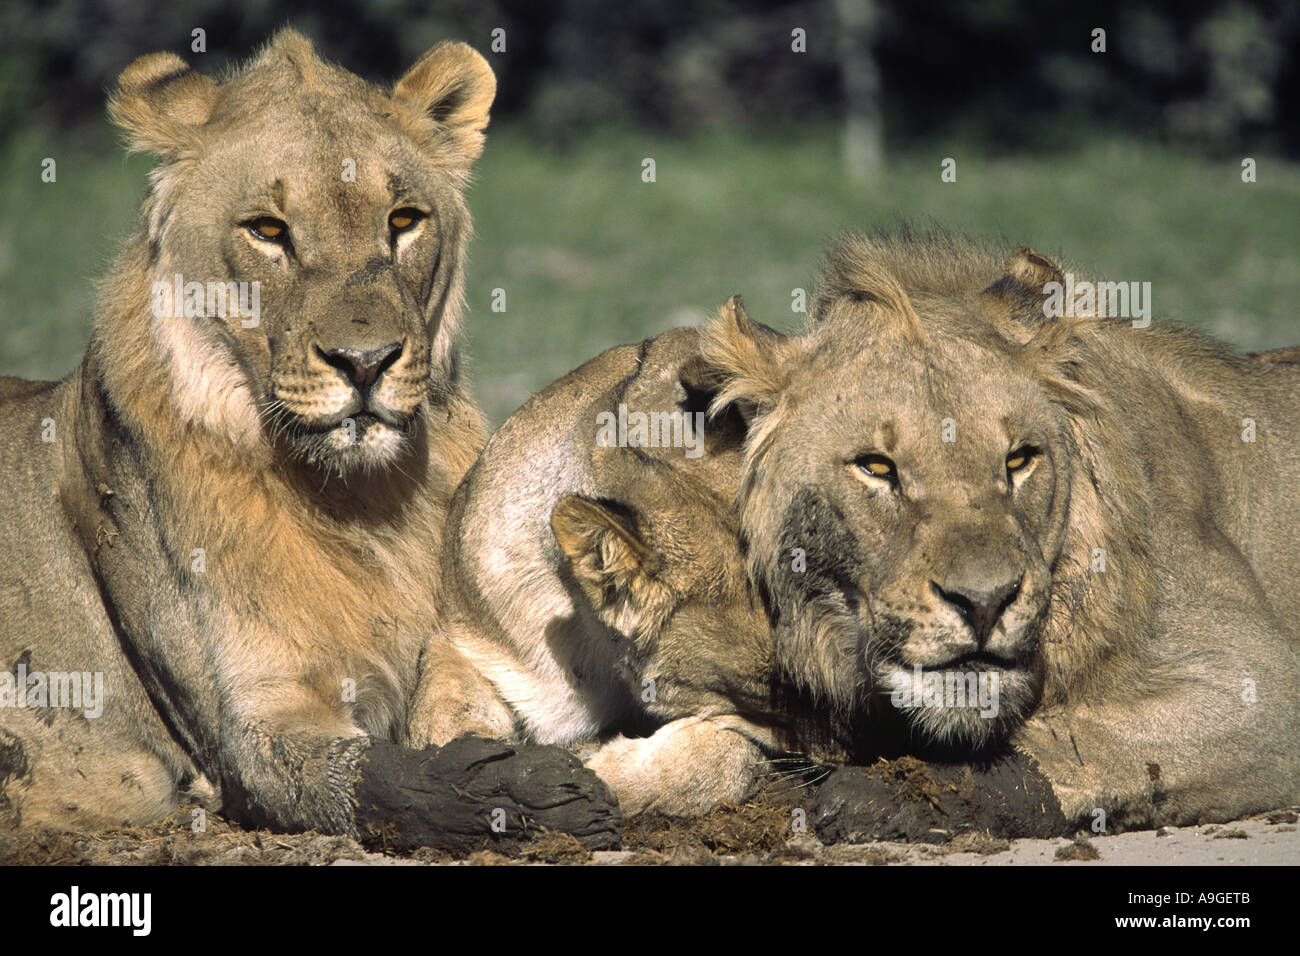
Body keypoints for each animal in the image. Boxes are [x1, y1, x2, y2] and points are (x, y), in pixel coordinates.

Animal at [0, 26, 616, 842]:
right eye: (268, 230)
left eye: (403, 220)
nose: (366, 362)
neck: (361, 502)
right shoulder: (253, 724)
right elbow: (366, 777)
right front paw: (521, 791)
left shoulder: (463, 636)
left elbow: (454, 701)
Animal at [702, 230, 1300, 832]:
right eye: (875, 467)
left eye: (1018, 460)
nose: (985, 602)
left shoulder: (1260, 681)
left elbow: (1080, 740)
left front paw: (883, 795)